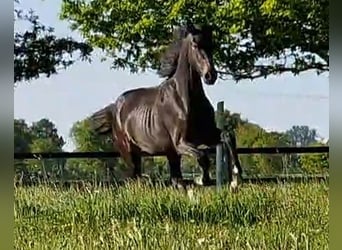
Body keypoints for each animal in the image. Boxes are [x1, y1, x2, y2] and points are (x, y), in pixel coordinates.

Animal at [89, 23, 243, 189]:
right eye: (195, 45)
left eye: (212, 45)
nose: (210, 76)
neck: (185, 99)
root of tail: (115, 107)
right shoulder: (180, 143)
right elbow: (202, 156)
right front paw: (202, 179)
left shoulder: (207, 134)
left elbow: (228, 136)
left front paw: (236, 176)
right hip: (129, 152)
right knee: (133, 178)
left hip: (168, 154)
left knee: (174, 179)